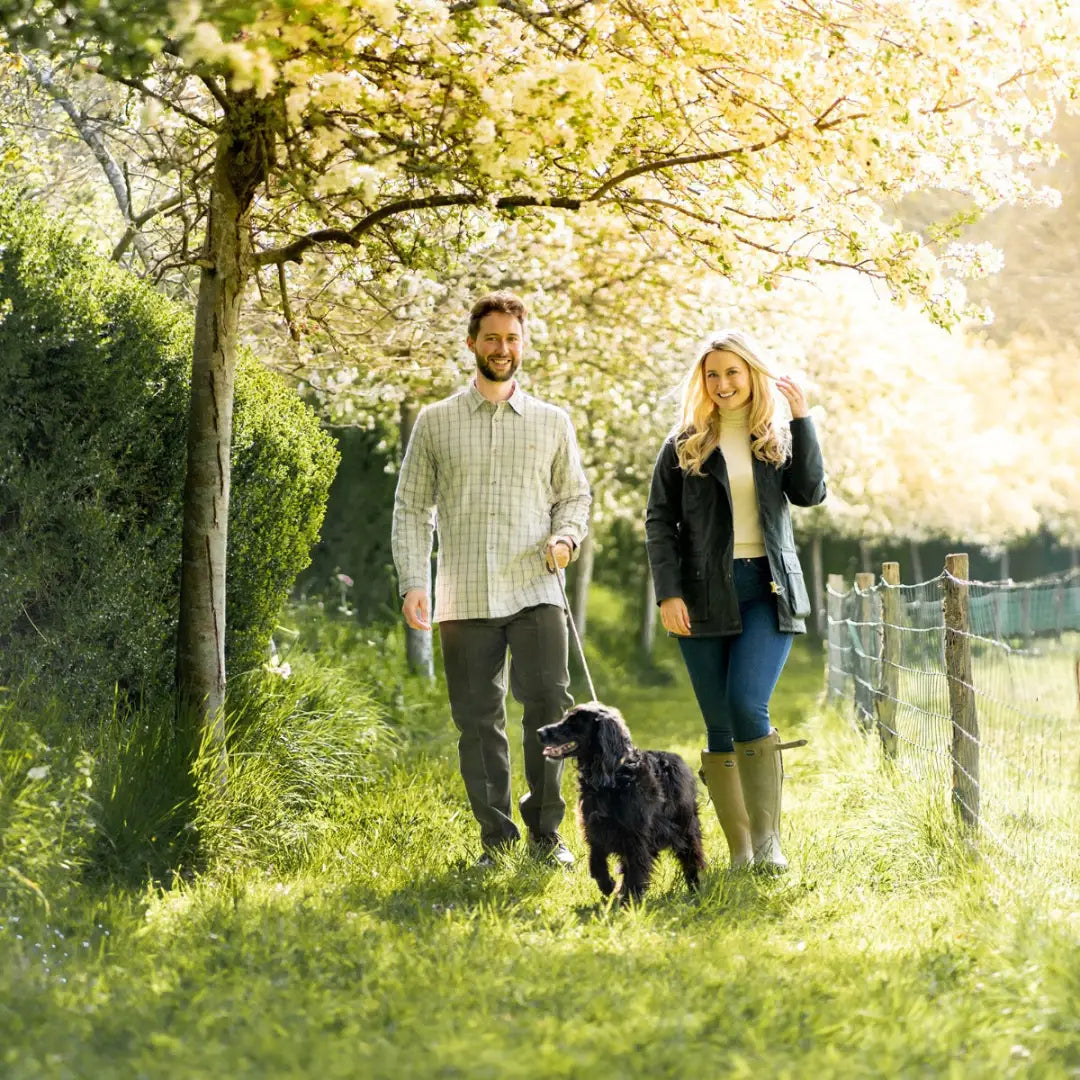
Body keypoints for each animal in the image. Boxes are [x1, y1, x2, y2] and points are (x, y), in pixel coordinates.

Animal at [535, 699, 704, 902]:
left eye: (574, 722)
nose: (539, 732)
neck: (613, 777)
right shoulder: (595, 829)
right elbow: (597, 862)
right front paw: (608, 886)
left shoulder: (635, 835)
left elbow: (636, 869)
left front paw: (629, 900)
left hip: (685, 827)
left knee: (692, 857)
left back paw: (695, 887)